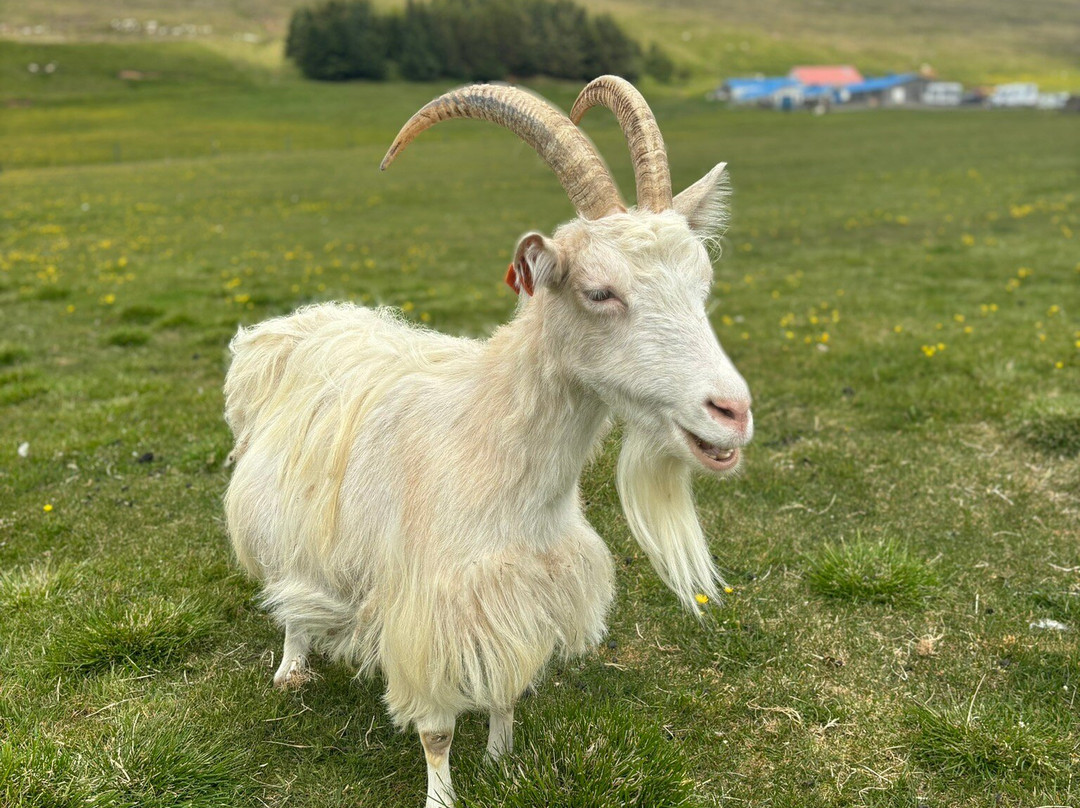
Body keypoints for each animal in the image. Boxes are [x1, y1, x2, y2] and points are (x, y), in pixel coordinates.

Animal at [224, 76, 753, 807]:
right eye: (599, 291)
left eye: (703, 283)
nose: (732, 412)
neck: (488, 444)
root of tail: (302, 319)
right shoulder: (430, 608)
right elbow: (436, 729)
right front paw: (442, 797)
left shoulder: (520, 592)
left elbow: (508, 684)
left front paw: (505, 762)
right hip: (276, 515)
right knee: (286, 588)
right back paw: (292, 667)